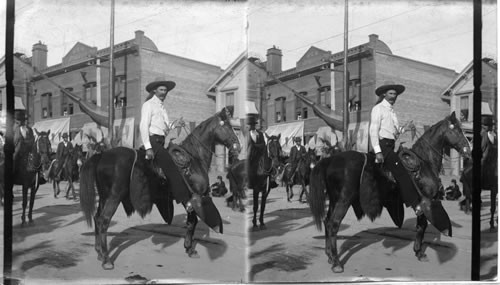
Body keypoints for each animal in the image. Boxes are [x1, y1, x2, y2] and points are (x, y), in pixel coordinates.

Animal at [79, 107, 240, 268]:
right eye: (226, 126)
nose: (238, 146)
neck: (194, 159)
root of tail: (102, 156)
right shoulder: (192, 197)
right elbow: (192, 222)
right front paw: (189, 249)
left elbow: (191, 222)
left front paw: (188, 247)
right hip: (114, 197)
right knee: (104, 220)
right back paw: (106, 259)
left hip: (104, 196)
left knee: (97, 217)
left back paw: (99, 252)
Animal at [308, 112, 472, 272]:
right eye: (456, 130)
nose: (468, 151)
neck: (424, 162)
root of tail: (330, 160)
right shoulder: (425, 201)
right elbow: (422, 225)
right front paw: (419, 252)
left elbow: (421, 225)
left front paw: (418, 251)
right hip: (343, 200)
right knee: (333, 224)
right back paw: (336, 263)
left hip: (334, 199)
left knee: (327, 221)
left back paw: (330, 255)